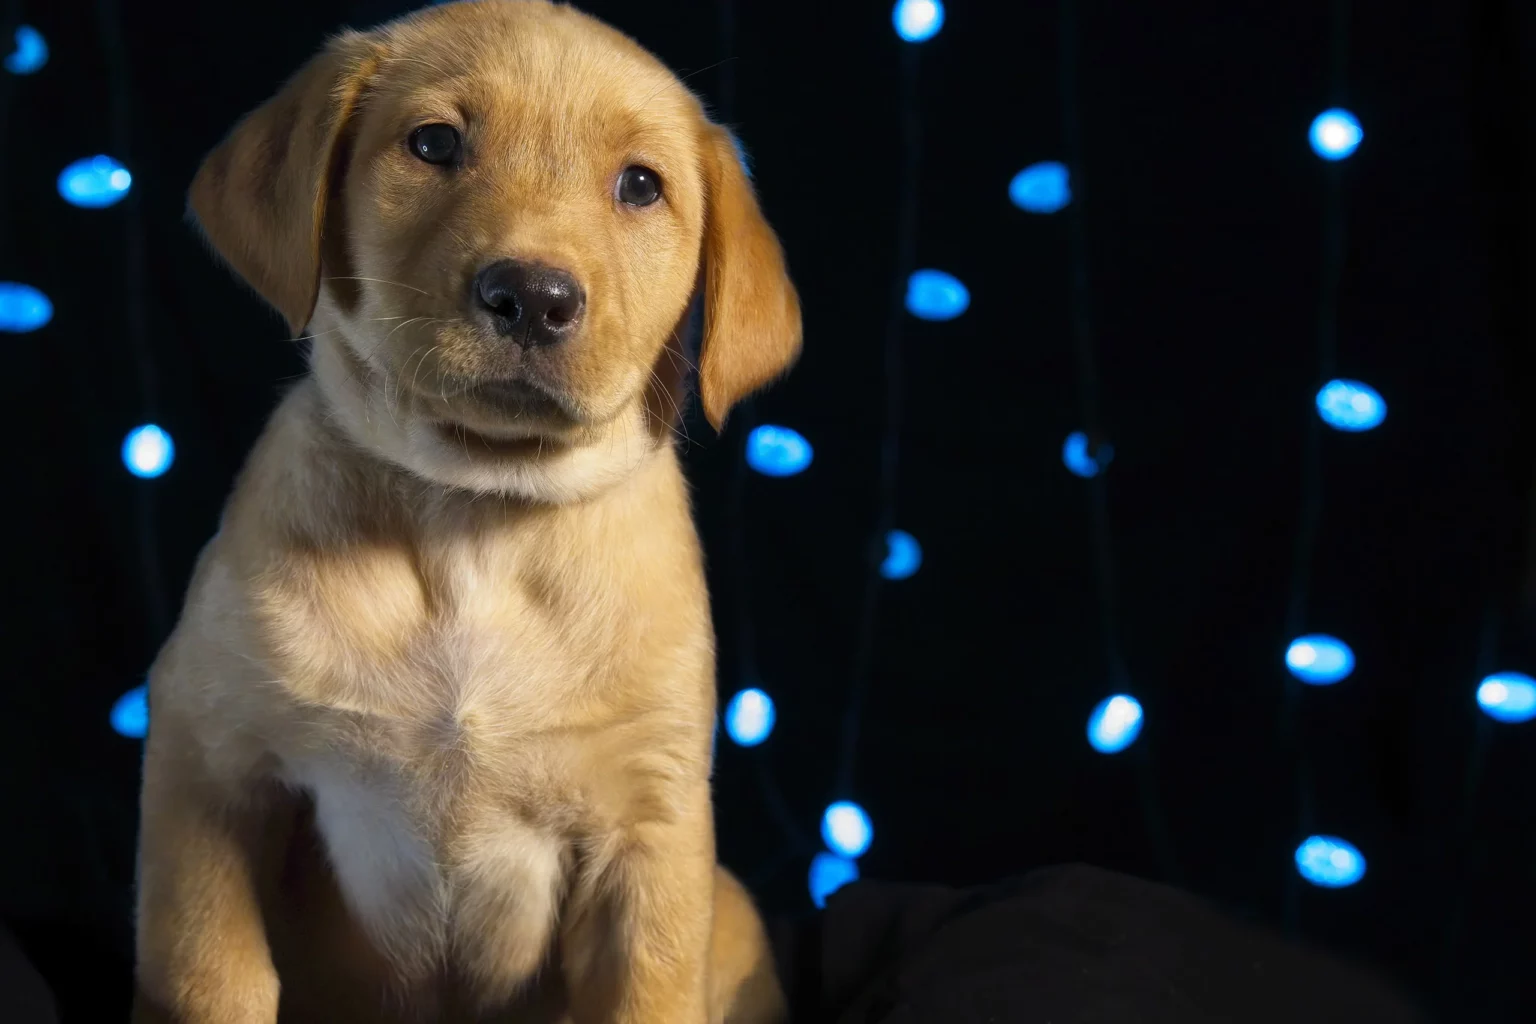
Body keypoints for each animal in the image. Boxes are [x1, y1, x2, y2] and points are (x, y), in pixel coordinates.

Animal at [133, 2, 804, 1024]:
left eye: (640, 186)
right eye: (434, 143)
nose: (532, 294)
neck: (475, 519)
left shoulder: (649, 830)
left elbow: (648, 991)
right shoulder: (208, 761)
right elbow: (209, 972)